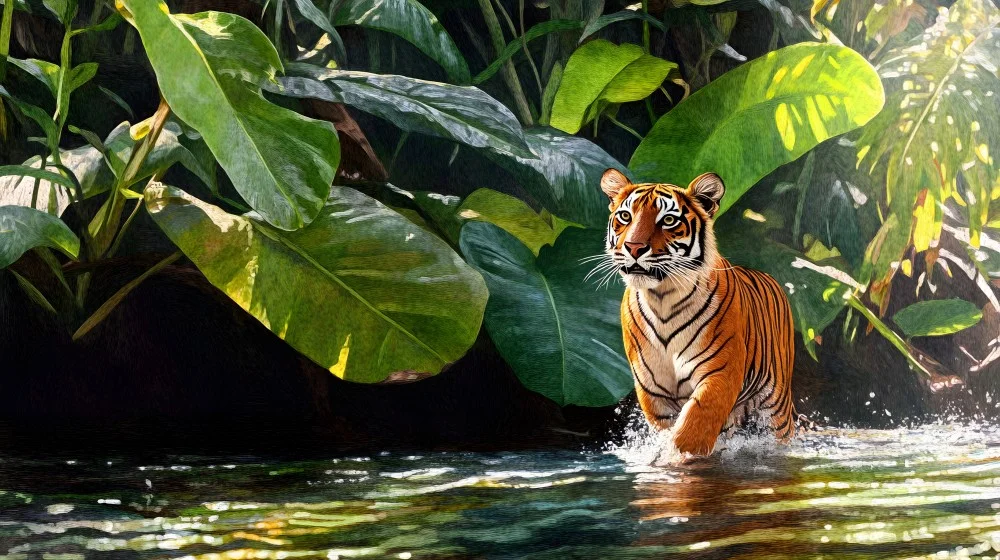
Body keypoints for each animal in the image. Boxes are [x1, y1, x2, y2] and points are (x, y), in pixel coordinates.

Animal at [599, 168, 796, 456]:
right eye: (625, 216)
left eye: (668, 220)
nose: (634, 247)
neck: (662, 298)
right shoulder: (653, 390)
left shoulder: (720, 374)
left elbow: (694, 426)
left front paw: (678, 457)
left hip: (777, 408)